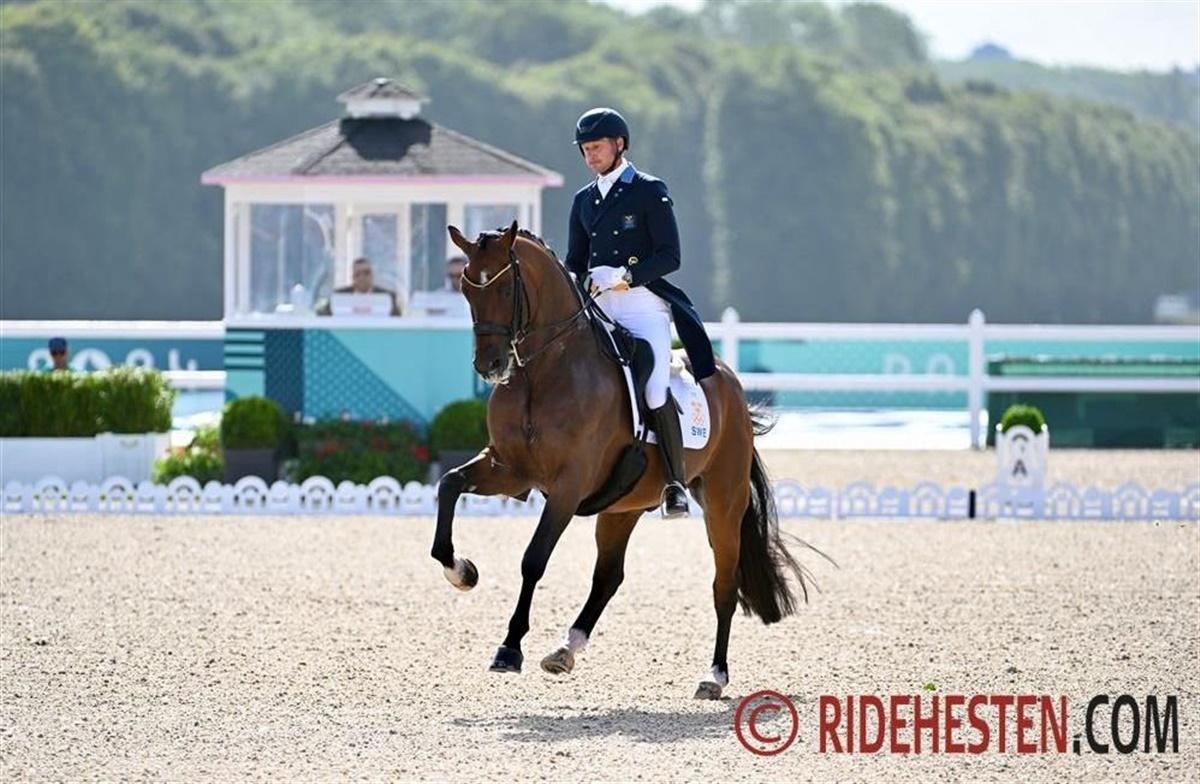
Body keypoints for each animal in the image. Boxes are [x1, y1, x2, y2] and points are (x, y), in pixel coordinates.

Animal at [430, 220, 809, 700]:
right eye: (466, 288)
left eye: (504, 288)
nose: (490, 366)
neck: (544, 372)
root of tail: (729, 380)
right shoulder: (509, 470)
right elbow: (449, 484)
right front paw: (460, 572)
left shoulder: (568, 487)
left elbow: (533, 559)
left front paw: (509, 648)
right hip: (622, 506)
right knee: (608, 577)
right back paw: (565, 650)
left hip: (724, 502)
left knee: (724, 583)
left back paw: (714, 675)